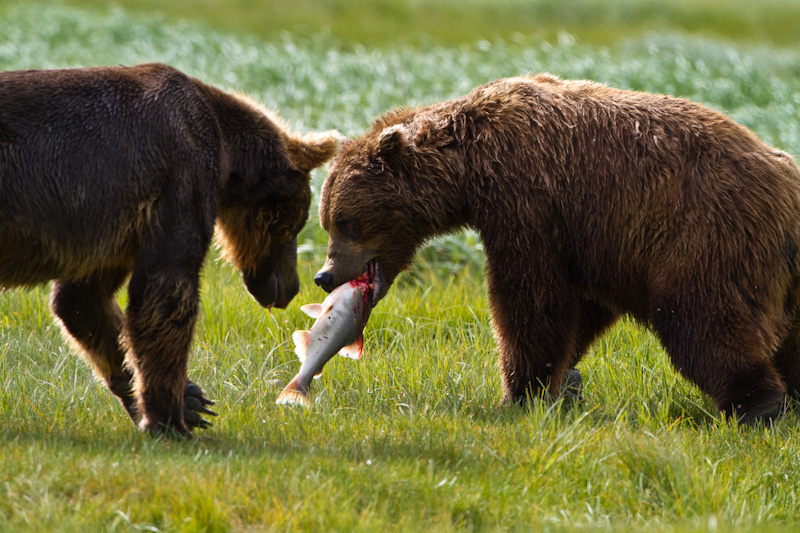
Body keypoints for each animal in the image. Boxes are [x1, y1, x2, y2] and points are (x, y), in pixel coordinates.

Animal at [0, 63, 340, 436]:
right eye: (296, 222)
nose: (291, 287)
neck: (226, 154)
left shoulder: (115, 232)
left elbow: (84, 301)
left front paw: (188, 400)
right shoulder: (180, 177)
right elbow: (166, 291)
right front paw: (170, 419)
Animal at [316, 74, 800, 424]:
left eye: (346, 222)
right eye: (326, 221)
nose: (325, 275)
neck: (470, 171)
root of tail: (787, 190)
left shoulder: (530, 202)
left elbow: (531, 299)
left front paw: (519, 391)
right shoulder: (590, 239)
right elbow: (580, 307)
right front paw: (561, 382)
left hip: (708, 234)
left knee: (703, 319)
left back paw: (756, 406)